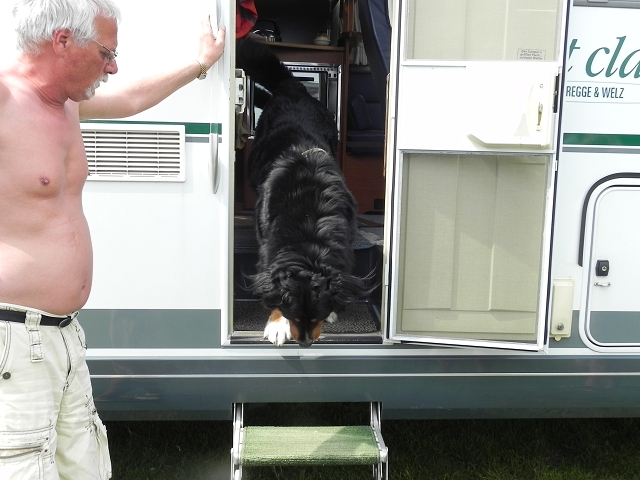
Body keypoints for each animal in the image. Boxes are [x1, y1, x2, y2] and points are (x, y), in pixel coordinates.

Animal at [237, 38, 372, 347]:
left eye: (317, 316)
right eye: (293, 315)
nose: (306, 343)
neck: (310, 221)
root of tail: (296, 89)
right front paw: (277, 324)